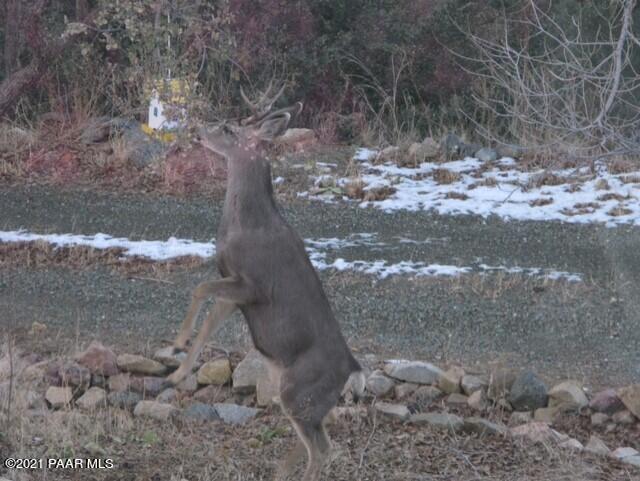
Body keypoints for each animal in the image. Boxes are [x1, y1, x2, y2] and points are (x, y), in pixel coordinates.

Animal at [164, 82, 365, 481]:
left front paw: (176, 345)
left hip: (299, 392)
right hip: (307, 400)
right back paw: (279, 471)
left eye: (228, 128)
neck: (245, 224)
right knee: (319, 435)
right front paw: (178, 373)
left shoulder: (252, 285)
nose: (197, 130)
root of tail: (351, 370)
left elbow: (198, 288)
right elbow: (209, 320)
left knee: (322, 449)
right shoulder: (234, 290)